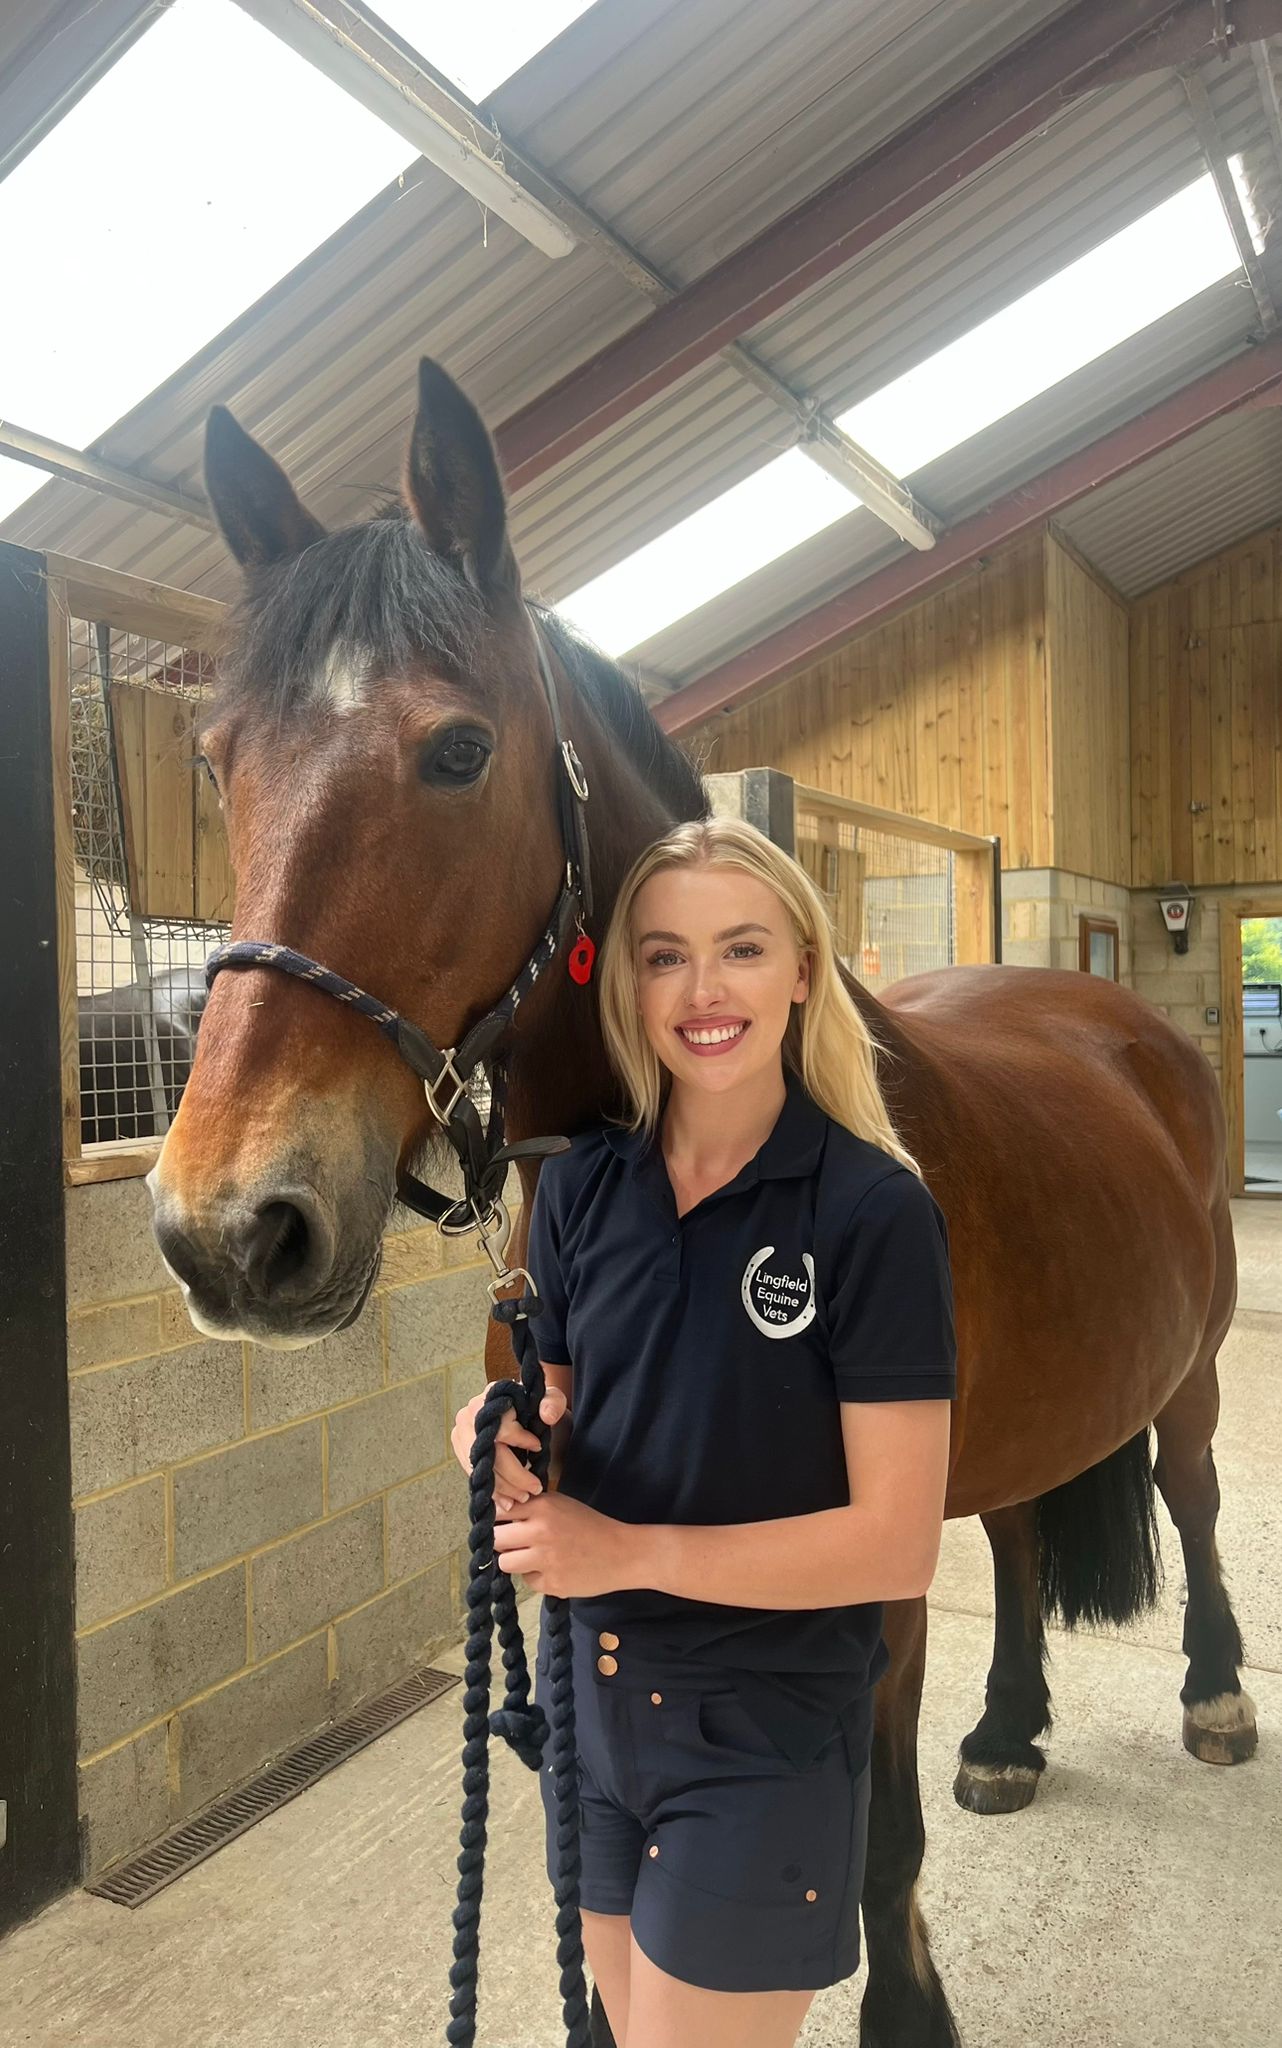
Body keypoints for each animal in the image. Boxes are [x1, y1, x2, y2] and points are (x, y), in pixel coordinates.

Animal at [147, 359, 1256, 2048]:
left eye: (457, 750)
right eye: (217, 759)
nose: (226, 1228)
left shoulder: (860, 1578)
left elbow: (875, 1841)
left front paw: (907, 2016)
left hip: (1186, 1371)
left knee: (1190, 1497)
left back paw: (1209, 1690)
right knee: (1013, 1537)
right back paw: (1005, 1728)